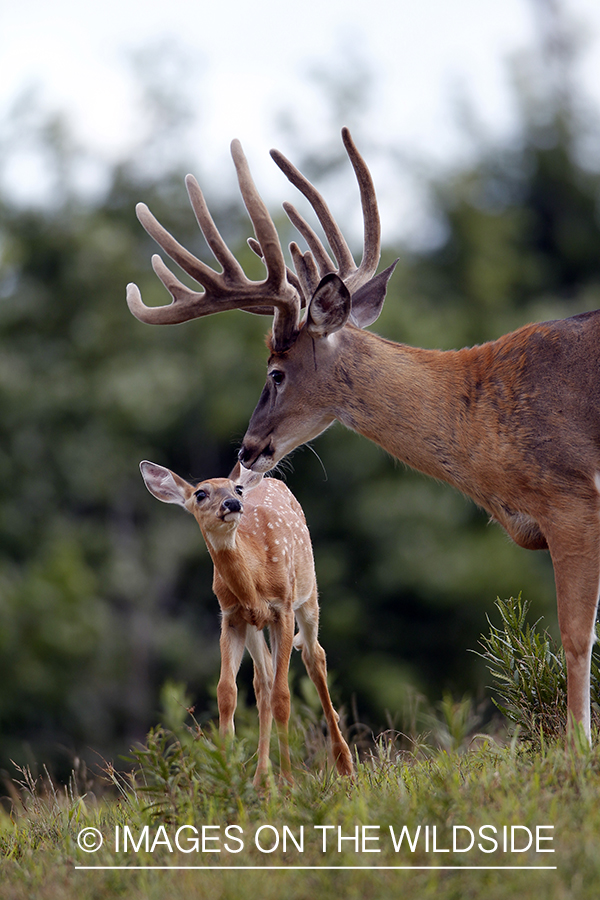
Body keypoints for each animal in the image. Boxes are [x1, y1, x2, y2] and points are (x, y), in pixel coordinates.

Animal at [127, 128, 600, 744]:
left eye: (275, 372)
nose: (247, 451)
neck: (484, 416)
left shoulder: (570, 495)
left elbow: (575, 635)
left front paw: (577, 749)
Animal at [140, 459, 353, 786]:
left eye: (236, 489)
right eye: (200, 494)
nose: (233, 503)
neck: (256, 578)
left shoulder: (283, 608)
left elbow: (283, 697)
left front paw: (288, 781)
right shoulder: (231, 617)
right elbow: (227, 693)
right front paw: (228, 776)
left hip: (308, 592)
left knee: (314, 656)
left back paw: (344, 764)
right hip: (255, 626)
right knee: (262, 681)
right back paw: (261, 778)